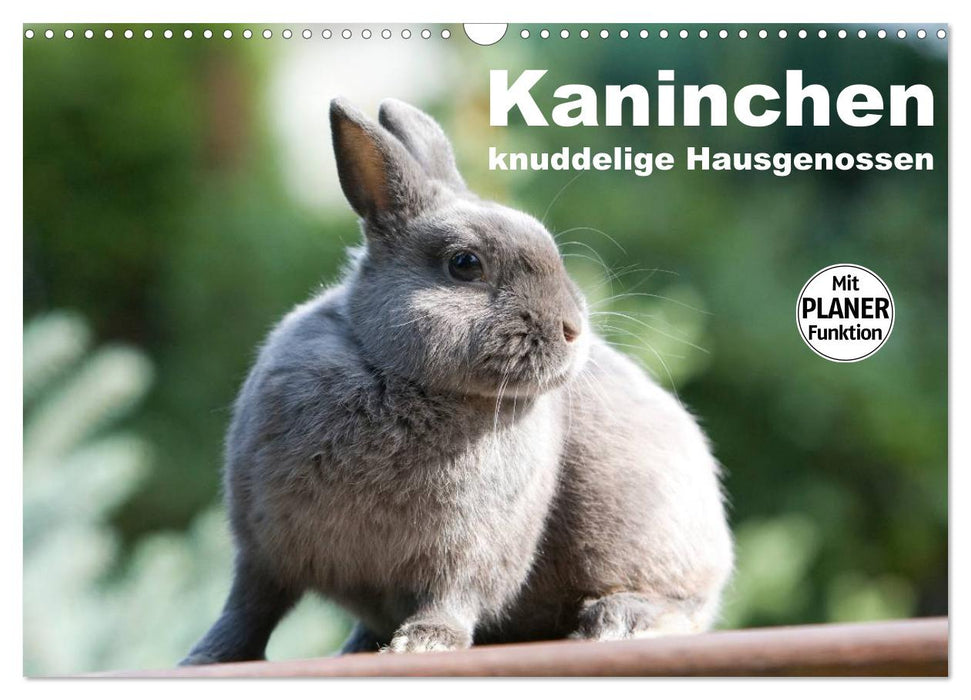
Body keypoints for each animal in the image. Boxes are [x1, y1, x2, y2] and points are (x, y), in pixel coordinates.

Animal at [180, 97, 733, 665]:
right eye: (464, 264)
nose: (573, 329)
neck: (397, 375)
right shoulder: (262, 549)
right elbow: (248, 610)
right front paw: (205, 658)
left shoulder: (469, 550)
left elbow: (451, 595)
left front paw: (422, 643)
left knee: (682, 608)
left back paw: (617, 622)